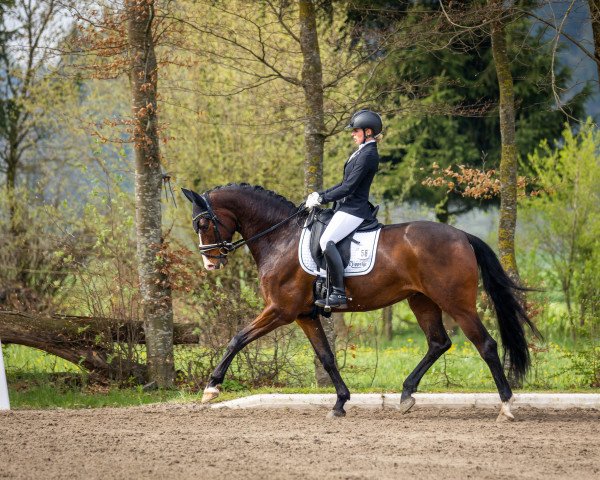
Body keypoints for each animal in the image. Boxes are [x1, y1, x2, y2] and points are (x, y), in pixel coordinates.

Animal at [180, 184, 536, 420]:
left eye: (203, 223)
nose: (209, 263)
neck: (280, 238)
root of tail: (463, 236)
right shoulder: (305, 315)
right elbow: (326, 358)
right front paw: (340, 403)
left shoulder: (281, 310)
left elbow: (237, 338)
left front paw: (211, 388)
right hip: (421, 301)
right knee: (439, 342)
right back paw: (406, 395)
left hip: (456, 303)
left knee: (485, 345)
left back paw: (506, 406)